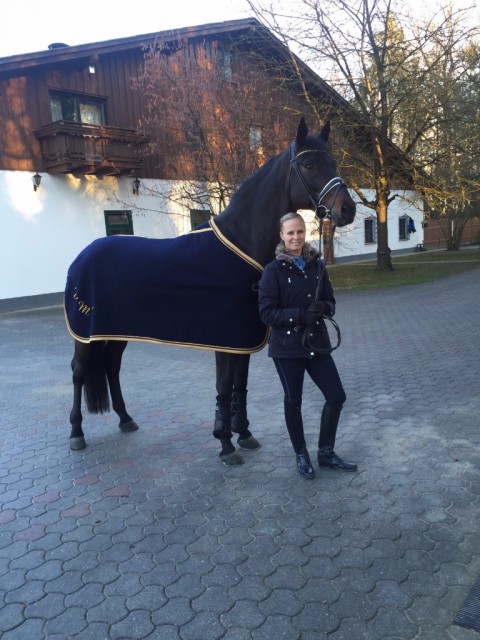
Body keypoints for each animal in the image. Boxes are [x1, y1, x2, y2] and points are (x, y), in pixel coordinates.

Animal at [65, 116, 354, 464]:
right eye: (309, 164)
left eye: (333, 162)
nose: (348, 209)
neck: (240, 244)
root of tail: (83, 254)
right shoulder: (225, 341)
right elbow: (224, 387)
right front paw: (225, 444)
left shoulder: (243, 340)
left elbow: (240, 386)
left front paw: (244, 434)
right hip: (84, 334)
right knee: (79, 372)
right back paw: (76, 433)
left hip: (114, 332)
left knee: (111, 367)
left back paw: (125, 419)